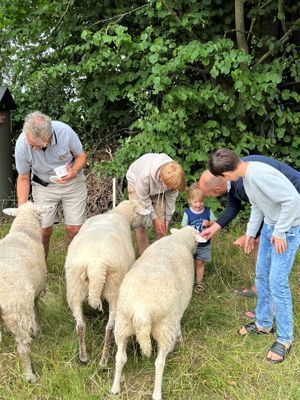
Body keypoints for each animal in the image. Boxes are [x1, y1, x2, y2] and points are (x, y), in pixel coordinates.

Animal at [0, 202, 52, 382]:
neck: (24, 231)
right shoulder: (35, 293)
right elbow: (36, 311)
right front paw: (38, 332)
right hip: (18, 310)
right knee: (23, 348)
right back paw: (30, 376)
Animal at [64, 200, 151, 368]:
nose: (149, 223)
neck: (118, 214)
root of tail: (96, 264)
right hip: (114, 290)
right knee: (110, 328)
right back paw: (104, 360)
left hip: (74, 288)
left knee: (80, 325)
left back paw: (83, 356)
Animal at [110, 227, 206, 398]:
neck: (180, 239)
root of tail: (141, 311)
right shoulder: (177, 312)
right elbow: (178, 325)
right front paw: (180, 339)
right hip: (164, 328)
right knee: (159, 362)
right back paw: (156, 393)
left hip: (122, 324)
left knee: (120, 357)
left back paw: (115, 388)